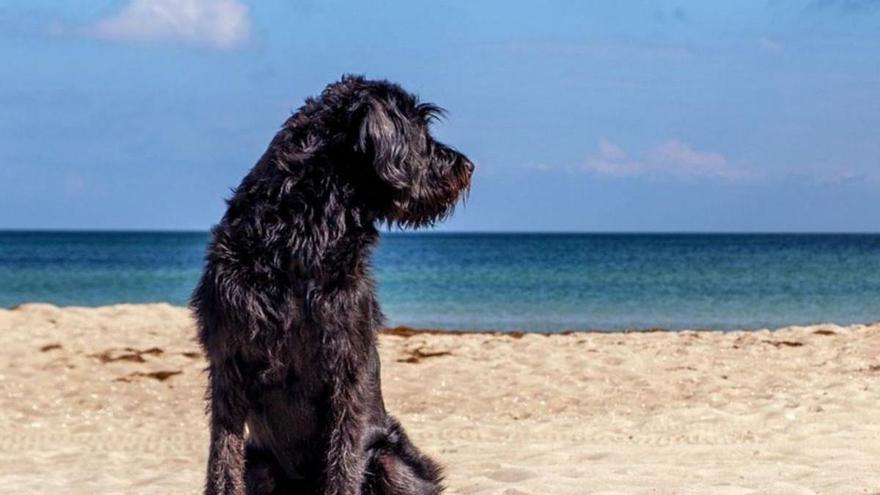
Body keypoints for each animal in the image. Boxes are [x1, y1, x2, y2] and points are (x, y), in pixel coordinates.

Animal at [191, 74, 474, 495]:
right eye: (420, 130)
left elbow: (343, 462)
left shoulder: (346, 369)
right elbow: (222, 463)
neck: (301, 237)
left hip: (391, 460)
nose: (467, 166)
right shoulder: (228, 366)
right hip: (260, 466)